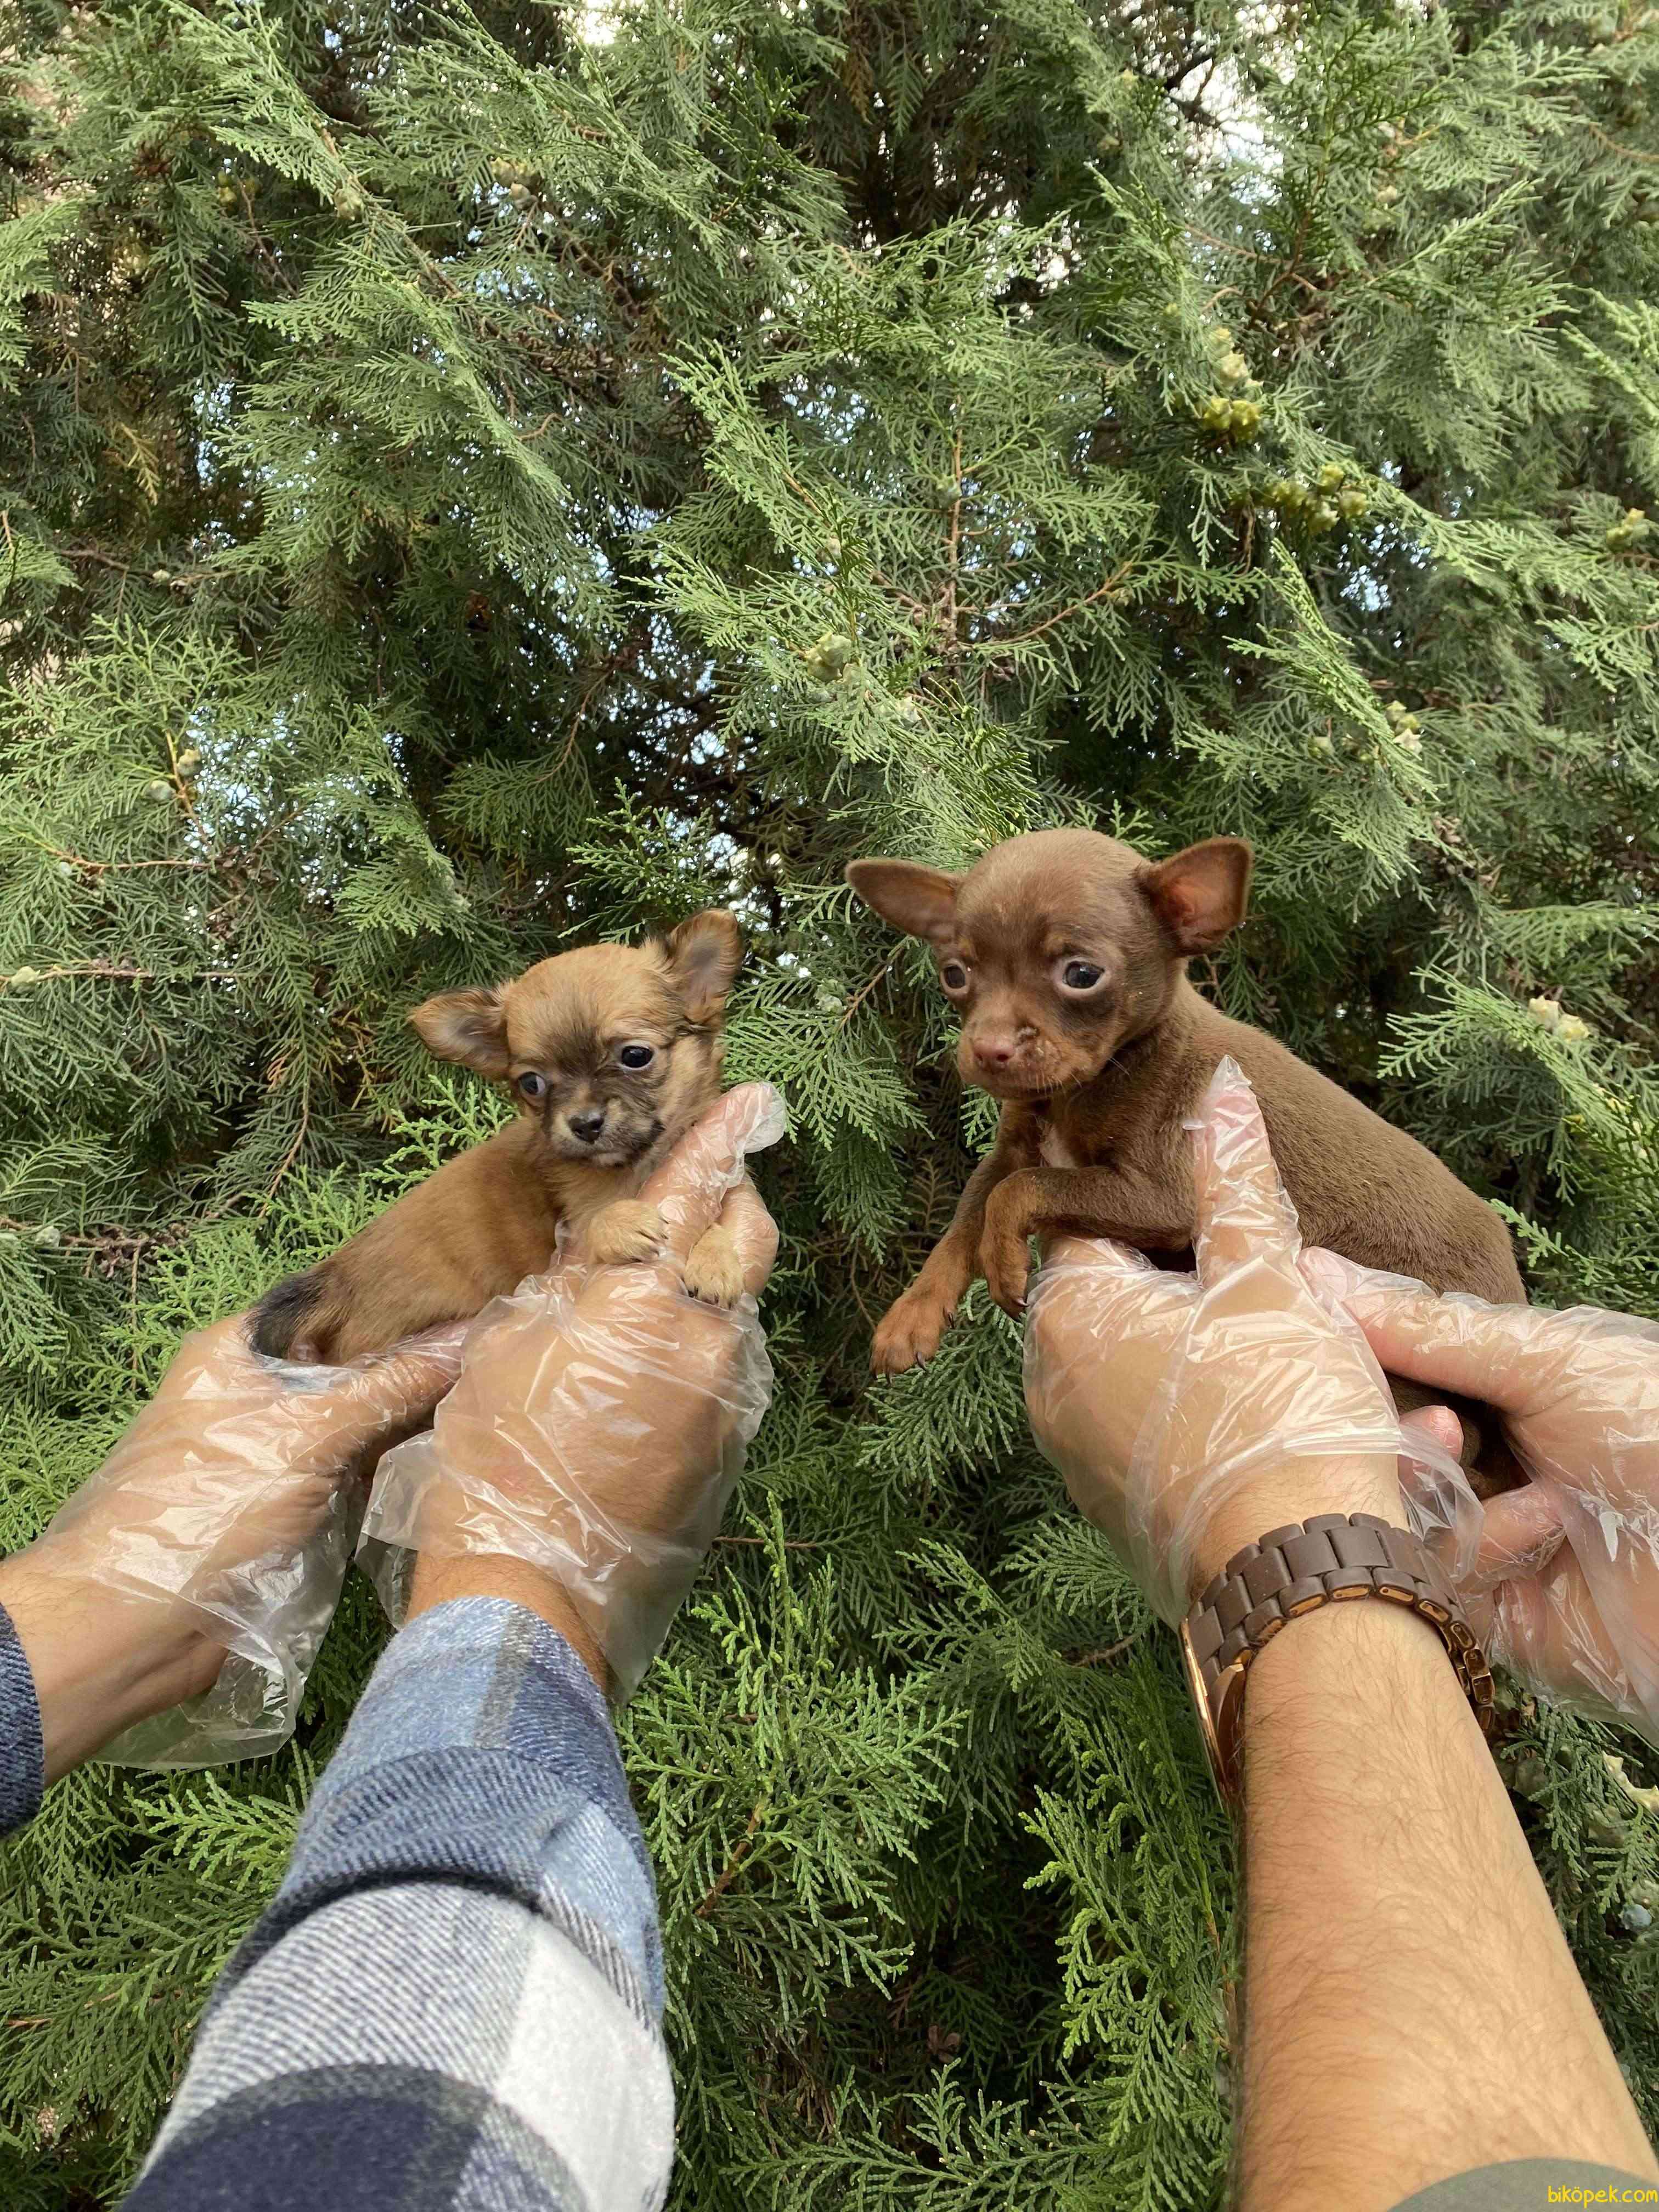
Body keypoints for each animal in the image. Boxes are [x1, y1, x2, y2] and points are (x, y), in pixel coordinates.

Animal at [251, 910, 747, 1364]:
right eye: (532, 1084)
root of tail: (338, 1277)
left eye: (636, 1056)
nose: (585, 1124)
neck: (637, 1163)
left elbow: (722, 1217)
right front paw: (621, 1223)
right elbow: (596, 1224)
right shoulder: (576, 1221)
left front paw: (716, 1258)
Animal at [846, 829, 1526, 1491]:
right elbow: (968, 1214)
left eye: (1082, 974)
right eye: (955, 974)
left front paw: (1005, 1261)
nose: (987, 1049)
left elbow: (1023, 1191)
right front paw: (912, 1314)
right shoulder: (1013, 1147)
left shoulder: (1157, 1196)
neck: (1085, 1089)